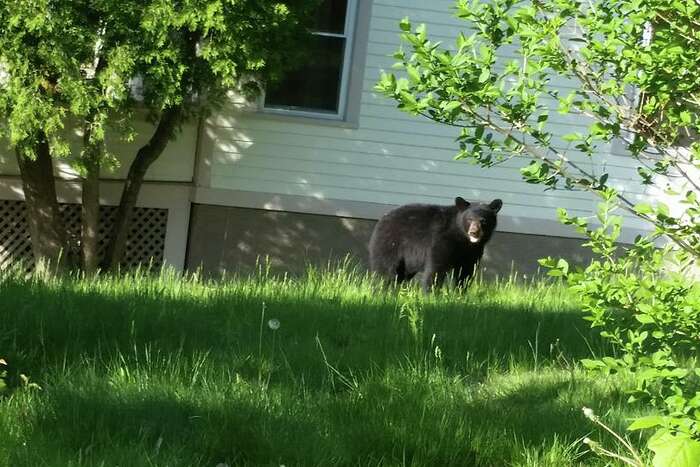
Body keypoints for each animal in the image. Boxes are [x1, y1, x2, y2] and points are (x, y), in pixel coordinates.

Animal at [366, 197, 504, 292]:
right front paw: (431, 294)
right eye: (469, 219)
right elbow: (436, 268)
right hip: (390, 244)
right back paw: (380, 291)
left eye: (483, 220)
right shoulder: (442, 240)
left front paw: (460, 294)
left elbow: (466, 272)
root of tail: (382, 219)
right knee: (385, 271)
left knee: (401, 275)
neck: (462, 238)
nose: (474, 232)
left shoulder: (473, 252)